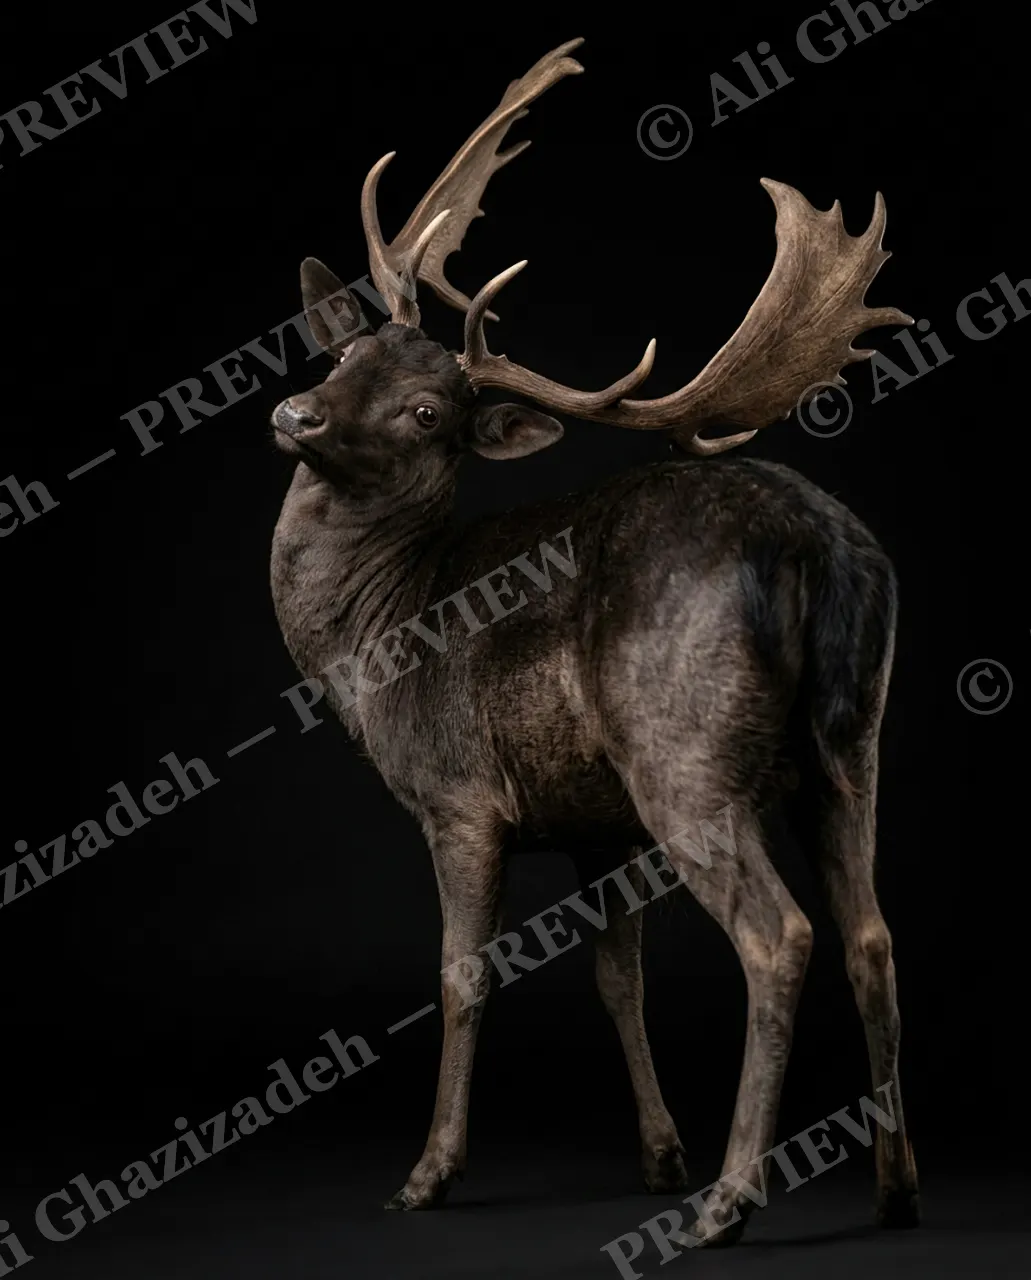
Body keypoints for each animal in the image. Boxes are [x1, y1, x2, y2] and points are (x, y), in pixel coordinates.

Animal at [268, 37, 919, 1244]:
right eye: (346, 357)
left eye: (428, 413)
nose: (296, 412)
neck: (375, 635)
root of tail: (814, 546)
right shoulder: (595, 822)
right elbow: (620, 976)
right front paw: (658, 1152)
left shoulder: (462, 794)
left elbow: (462, 972)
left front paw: (428, 1174)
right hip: (850, 746)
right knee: (868, 933)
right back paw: (893, 1188)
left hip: (683, 750)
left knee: (780, 934)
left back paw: (729, 1202)